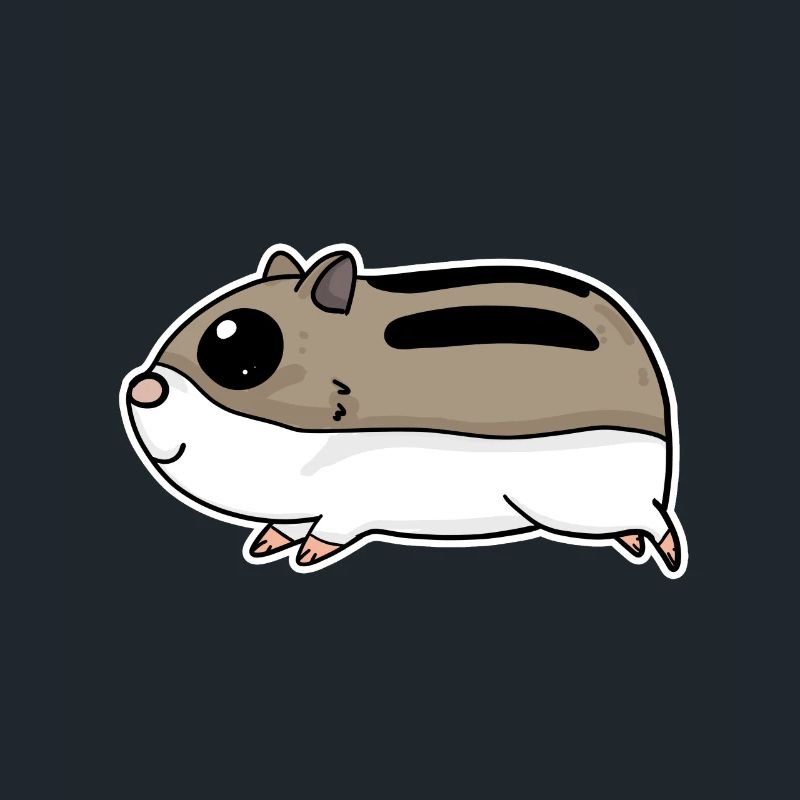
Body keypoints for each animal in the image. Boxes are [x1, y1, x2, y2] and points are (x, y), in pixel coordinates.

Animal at [120, 243, 686, 577]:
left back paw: (667, 551)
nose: (140, 390)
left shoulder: (354, 499)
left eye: (242, 354)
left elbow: (331, 528)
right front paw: (266, 543)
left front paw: (306, 553)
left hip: (577, 499)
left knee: (651, 521)